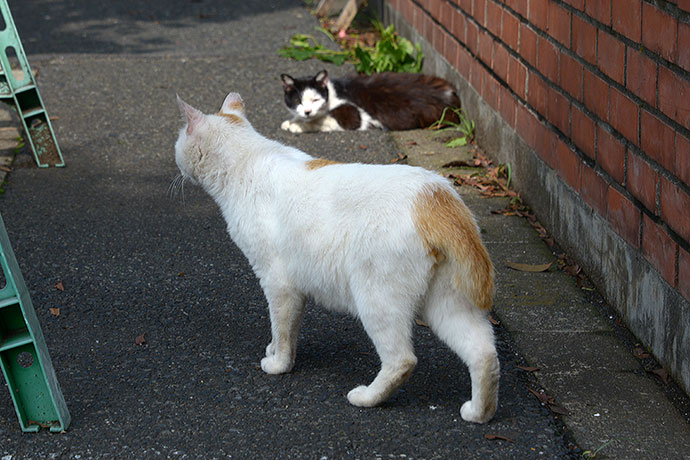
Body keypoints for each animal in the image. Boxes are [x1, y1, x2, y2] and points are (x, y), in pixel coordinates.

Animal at [175, 91, 498, 422]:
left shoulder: (278, 283)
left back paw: (368, 397)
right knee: (485, 354)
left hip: (376, 299)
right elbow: (287, 330)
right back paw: (479, 412)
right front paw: (276, 352)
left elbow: (281, 328)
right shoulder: (293, 289)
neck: (247, 158)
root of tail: (438, 195)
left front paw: (278, 364)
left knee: (402, 360)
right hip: (446, 303)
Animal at [276, 70, 460, 132]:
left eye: (315, 100)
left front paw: (298, 126)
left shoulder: (354, 117)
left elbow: (322, 120)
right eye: (298, 100)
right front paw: (293, 121)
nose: (307, 111)